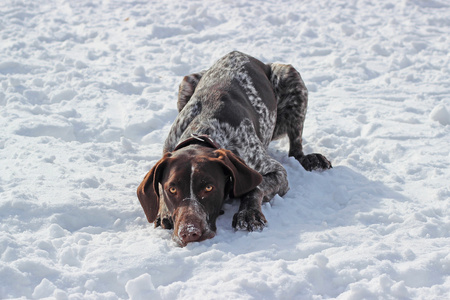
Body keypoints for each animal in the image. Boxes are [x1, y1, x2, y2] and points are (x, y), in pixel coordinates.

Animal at [136, 51, 330, 246]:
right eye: (173, 189)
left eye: (209, 188)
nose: (189, 232)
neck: (205, 130)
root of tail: (243, 55)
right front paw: (164, 211)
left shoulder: (277, 172)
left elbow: (256, 187)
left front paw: (248, 213)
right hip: (187, 82)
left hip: (290, 77)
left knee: (296, 147)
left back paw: (308, 158)